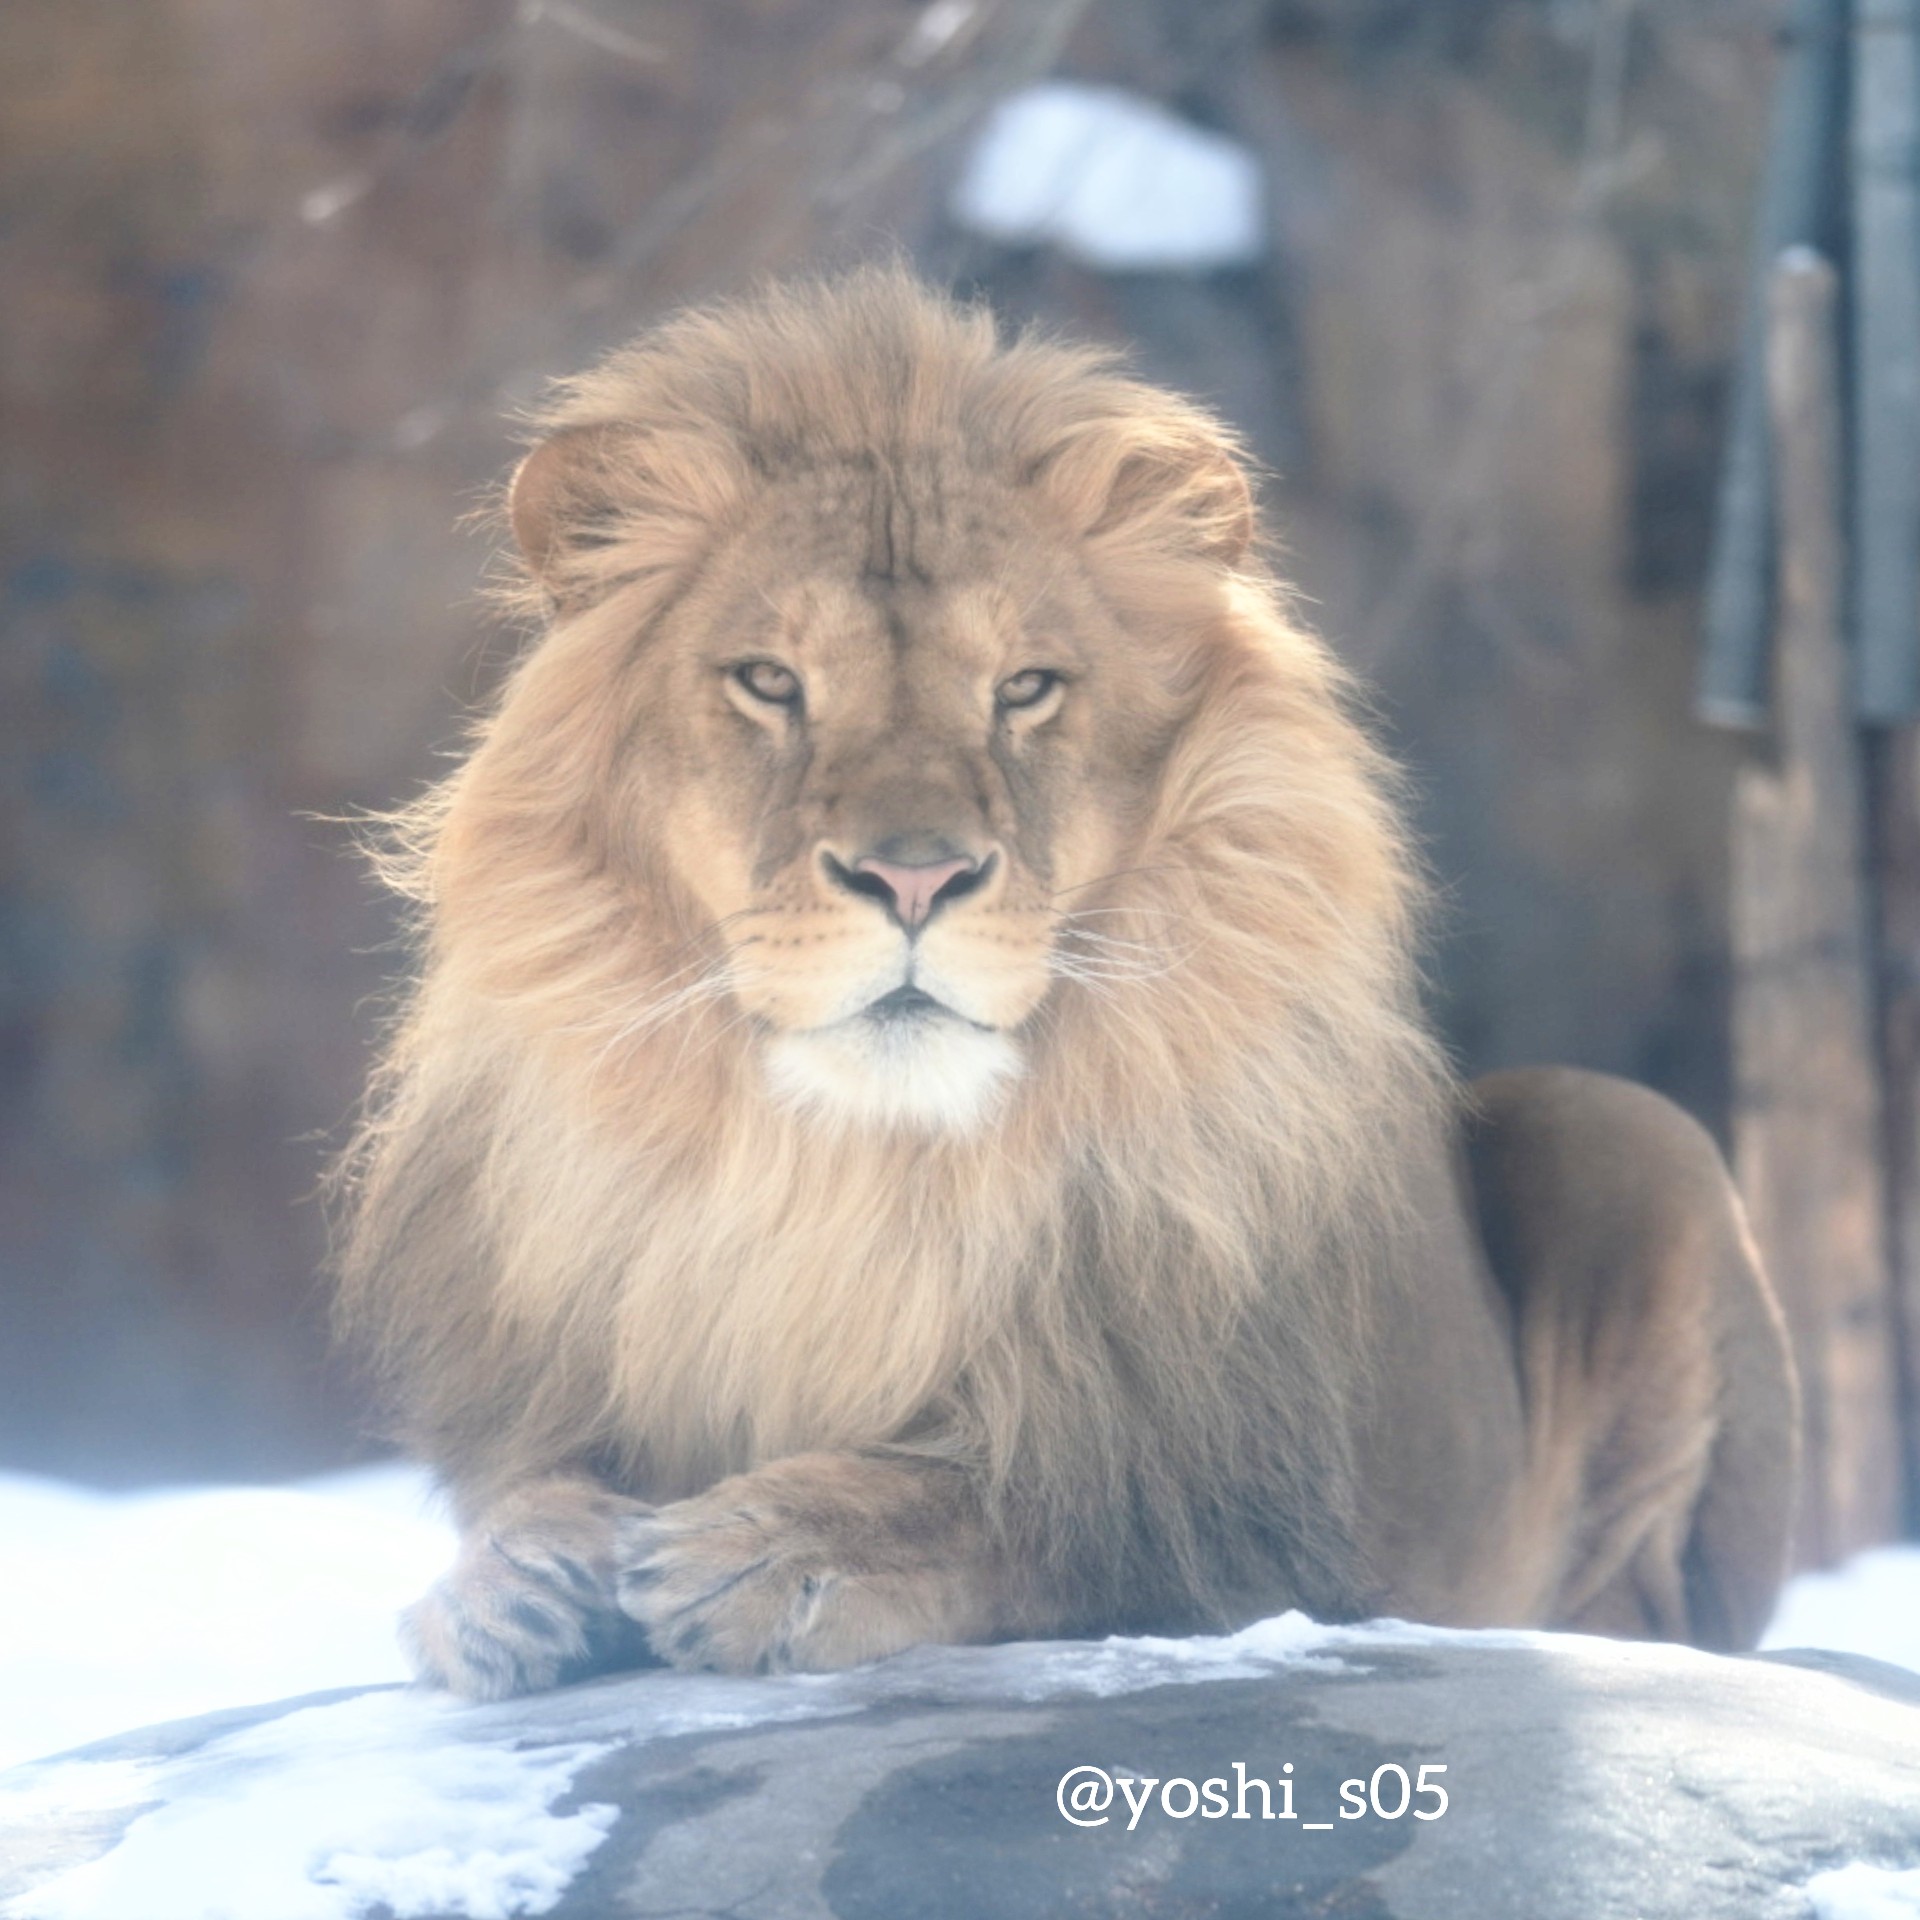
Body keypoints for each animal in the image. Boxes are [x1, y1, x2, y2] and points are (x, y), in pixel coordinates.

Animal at [331, 265, 1799, 1699]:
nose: (914, 878)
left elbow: (1032, 1511)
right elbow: (534, 1488)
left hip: (1633, 1133)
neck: (858, 1174)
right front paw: (511, 1580)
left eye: (1024, 688)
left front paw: (777, 1550)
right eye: (769, 682)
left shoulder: (1260, 1514)